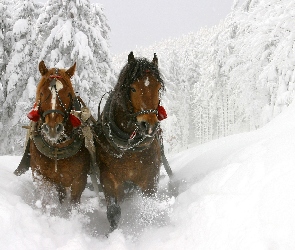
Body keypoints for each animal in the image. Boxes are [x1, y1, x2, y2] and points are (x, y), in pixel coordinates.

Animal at [23, 61, 91, 209]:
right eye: (42, 93)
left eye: (68, 94)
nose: (53, 128)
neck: (57, 149)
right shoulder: (41, 176)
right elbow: (46, 201)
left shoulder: (79, 181)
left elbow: (73, 204)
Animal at [95, 51, 169, 232]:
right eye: (133, 88)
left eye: (158, 88)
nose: (149, 125)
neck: (129, 148)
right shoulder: (108, 177)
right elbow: (113, 212)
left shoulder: (150, 178)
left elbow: (147, 208)